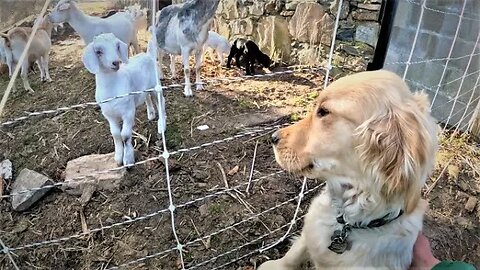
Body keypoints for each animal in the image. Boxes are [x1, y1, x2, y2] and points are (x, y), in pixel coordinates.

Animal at [82, 32, 165, 166]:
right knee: (147, 97)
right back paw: (151, 114)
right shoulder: (109, 114)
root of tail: (148, 55)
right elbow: (115, 134)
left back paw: (162, 124)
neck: (111, 88)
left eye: (117, 46)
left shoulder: (128, 111)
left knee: (161, 102)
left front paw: (128, 159)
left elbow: (125, 135)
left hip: (155, 85)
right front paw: (118, 157)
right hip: (143, 88)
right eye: (98, 51)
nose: (116, 62)